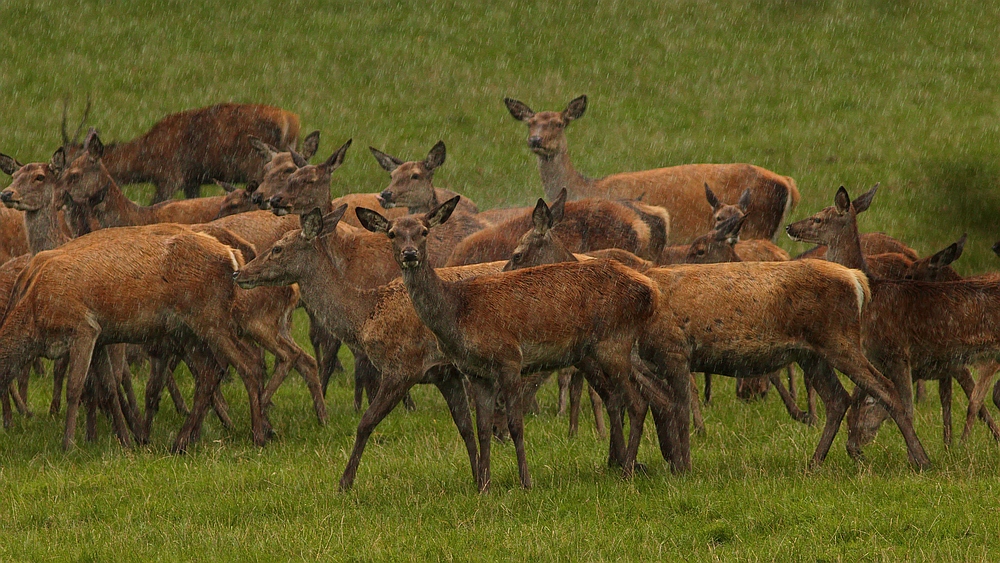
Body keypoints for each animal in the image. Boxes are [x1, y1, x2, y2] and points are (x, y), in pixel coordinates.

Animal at [356, 197, 660, 490]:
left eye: (424, 231)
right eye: (392, 234)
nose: (410, 254)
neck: (458, 312)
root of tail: (650, 291)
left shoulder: (509, 359)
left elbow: (516, 424)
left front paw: (525, 481)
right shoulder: (477, 373)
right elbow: (482, 428)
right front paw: (484, 485)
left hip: (613, 342)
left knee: (637, 402)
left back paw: (627, 472)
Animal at [504, 95, 800, 245]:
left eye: (559, 123)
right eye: (530, 123)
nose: (536, 141)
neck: (586, 187)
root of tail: (788, 183)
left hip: (756, 227)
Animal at [784, 187, 1000, 460]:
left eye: (818, 218)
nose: (790, 226)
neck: (870, 294)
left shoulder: (896, 351)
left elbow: (903, 406)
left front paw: (914, 458)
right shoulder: (880, 358)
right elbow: (871, 402)